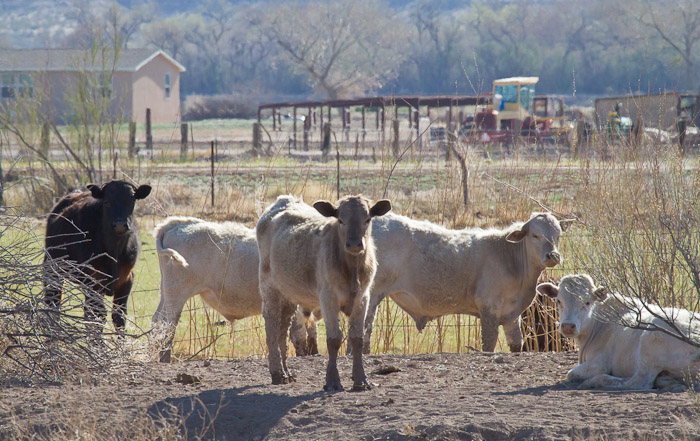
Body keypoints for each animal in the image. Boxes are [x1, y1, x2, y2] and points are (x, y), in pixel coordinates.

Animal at [258, 194, 392, 390]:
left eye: (367, 219)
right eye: (341, 220)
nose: (354, 244)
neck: (351, 270)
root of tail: (284, 199)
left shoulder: (362, 298)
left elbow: (357, 338)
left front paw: (361, 380)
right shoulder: (328, 297)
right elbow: (334, 339)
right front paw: (333, 381)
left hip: (289, 293)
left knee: (283, 328)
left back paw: (286, 373)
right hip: (269, 287)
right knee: (272, 327)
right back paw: (276, 373)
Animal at [364, 211, 572, 352]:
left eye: (558, 235)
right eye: (535, 235)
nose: (553, 255)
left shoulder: (512, 316)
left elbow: (516, 344)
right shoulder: (489, 308)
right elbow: (488, 344)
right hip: (371, 295)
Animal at [536, 274, 700, 390]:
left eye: (587, 302)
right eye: (558, 301)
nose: (568, 326)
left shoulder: (599, 363)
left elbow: (571, 374)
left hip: (650, 341)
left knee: (638, 382)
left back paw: (595, 381)